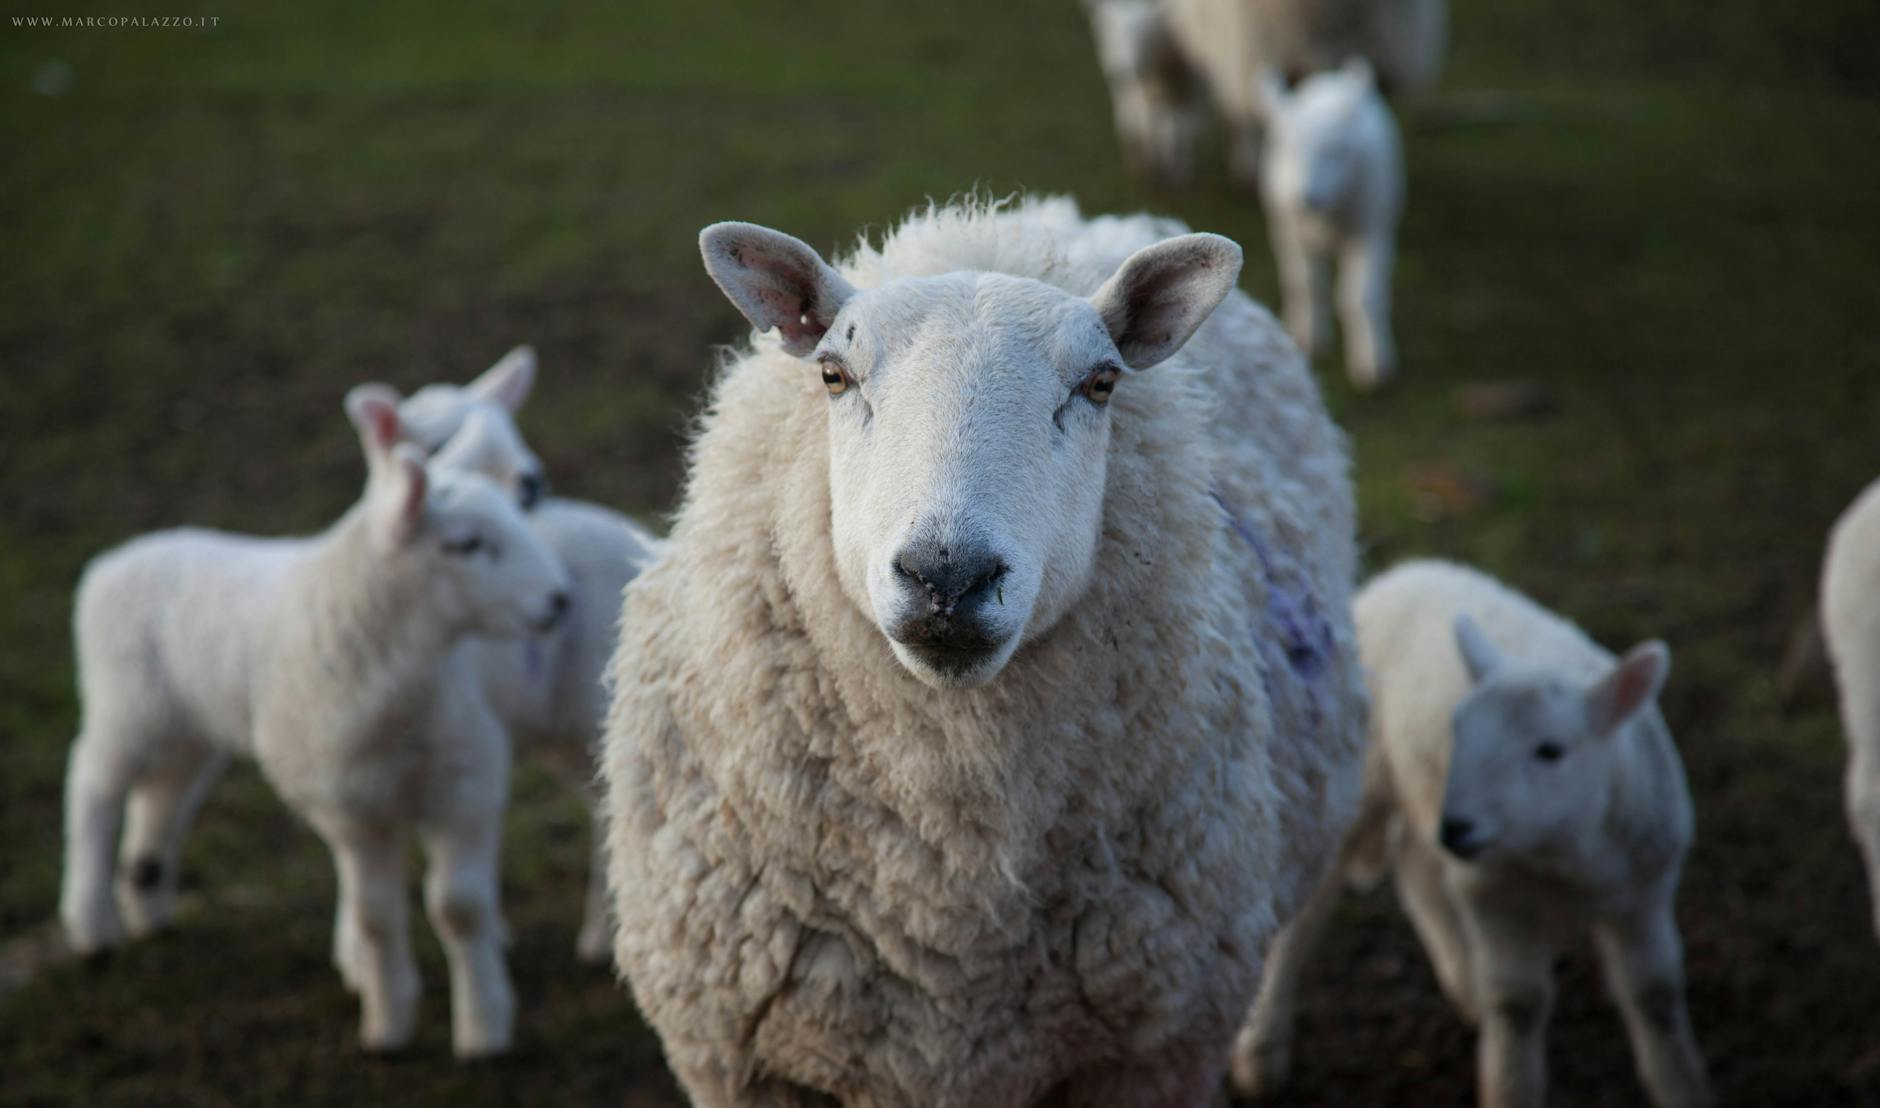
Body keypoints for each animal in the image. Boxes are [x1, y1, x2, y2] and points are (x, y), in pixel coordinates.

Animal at [59, 388, 572, 1057]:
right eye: (465, 544)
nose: (560, 599)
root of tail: (113, 560)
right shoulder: (354, 795)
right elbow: (379, 914)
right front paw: (396, 1015)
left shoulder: (456, 780)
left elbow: (448, 906)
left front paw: (471, 1018)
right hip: (127, 708)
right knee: (93, 788)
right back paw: (92, 924)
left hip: (187, 728)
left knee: (164, 794)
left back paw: (147, 898)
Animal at [599, 195, 1367, 1107]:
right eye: (834, 375)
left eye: (1100, 383)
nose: (947, 575)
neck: (949, 879)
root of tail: (1082, 214)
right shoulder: (738, 1060)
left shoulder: (1155, 1052)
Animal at [1233, 560, 1711, 1108]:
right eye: (1458, 729)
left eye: (1551, 750)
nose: (1456, 825)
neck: (1564, 856)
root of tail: (1405, 571)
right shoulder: (1494, 894)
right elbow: (1519, 1003)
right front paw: (1510, 1086)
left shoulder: (1647, 891)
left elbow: (1657, 994)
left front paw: (1682, 1086)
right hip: (1354, 786)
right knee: (1303, 918)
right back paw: (1261, 1051)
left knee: (1416, 869)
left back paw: (1465, 985)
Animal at [1256, 58, 1403, 389]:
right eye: (1290, 149)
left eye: (1338, 151)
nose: (1306, 198)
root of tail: (1330, 80)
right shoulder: (1291, 232)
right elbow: (1307, 284)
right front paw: (1308, 341)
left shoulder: (1367, 230)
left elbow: (1361, 296)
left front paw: (1371, 363)